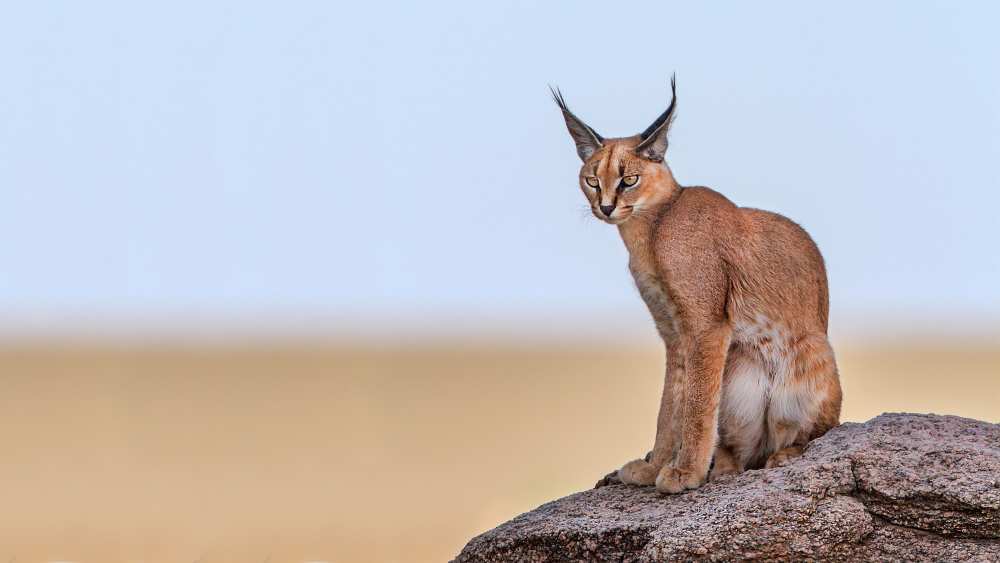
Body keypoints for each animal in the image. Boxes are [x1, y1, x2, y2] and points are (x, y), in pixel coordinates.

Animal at [552, 76, 840, 494]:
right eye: (592, 180)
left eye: (628, 179)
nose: (605, 207)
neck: (650, 230)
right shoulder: (674, 331)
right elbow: (672, 401)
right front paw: (655, 465)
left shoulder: (706, 325)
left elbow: (697, 401)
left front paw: (685, 471)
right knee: (742, 451)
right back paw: (725, 464)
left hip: (812, 351)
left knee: (823, 429)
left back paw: (783, 454)